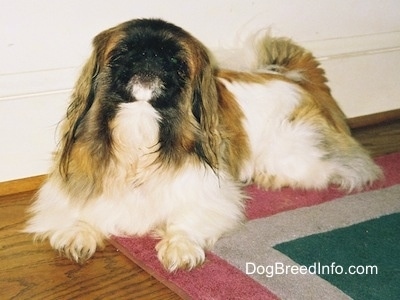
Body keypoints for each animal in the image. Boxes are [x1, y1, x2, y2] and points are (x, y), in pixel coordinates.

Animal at [25, 18, 382, 272]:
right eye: (124, 51)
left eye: (176, 61)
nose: (150, 55)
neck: (141, 125)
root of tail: (296, 78)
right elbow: (75, 208)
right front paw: (78, 232)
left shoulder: (212, 194)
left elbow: (187, 218)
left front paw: (179, 246)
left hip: (294, 152)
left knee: (336, 169)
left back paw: (273, 177)